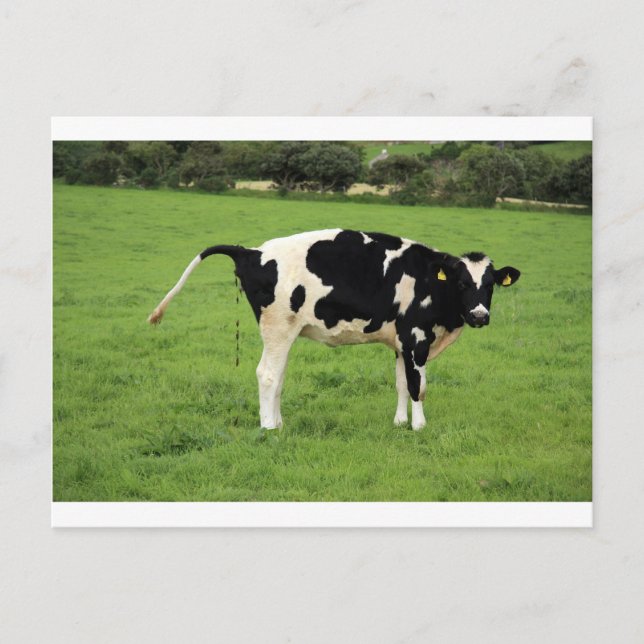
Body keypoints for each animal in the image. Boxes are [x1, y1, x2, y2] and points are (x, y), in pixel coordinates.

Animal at [148, 229, 520, 430]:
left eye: (490, 285)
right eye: (461, 283)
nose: (479, 315)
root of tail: (252, 251)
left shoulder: (401, 342)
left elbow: (401, 383)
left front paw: (400, 423)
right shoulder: (416, 339)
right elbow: (419, 386)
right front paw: (419, 426)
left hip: (285, 331)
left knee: (278, 376)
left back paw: (279, 424)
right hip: (277, 327)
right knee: (267, 374)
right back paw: (268, 428)